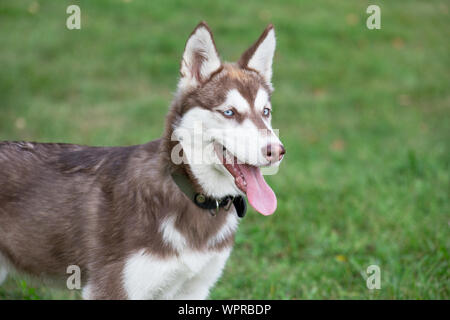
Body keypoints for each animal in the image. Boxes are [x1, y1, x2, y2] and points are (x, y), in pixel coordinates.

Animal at [0, 21, 284, 298]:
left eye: (266, 112)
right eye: (229, 112)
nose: (277, 151)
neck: (190, 193)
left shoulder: (193, 290)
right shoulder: (112, 288)